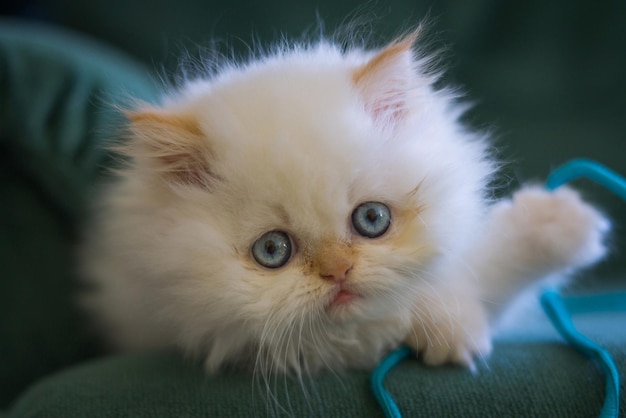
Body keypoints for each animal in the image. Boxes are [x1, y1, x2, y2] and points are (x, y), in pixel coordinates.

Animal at [80, 29, 608, 376]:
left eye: (372, 219)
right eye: (272, 251)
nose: (339, 272)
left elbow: (475, 259)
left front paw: (562, 223)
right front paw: (451, 329)